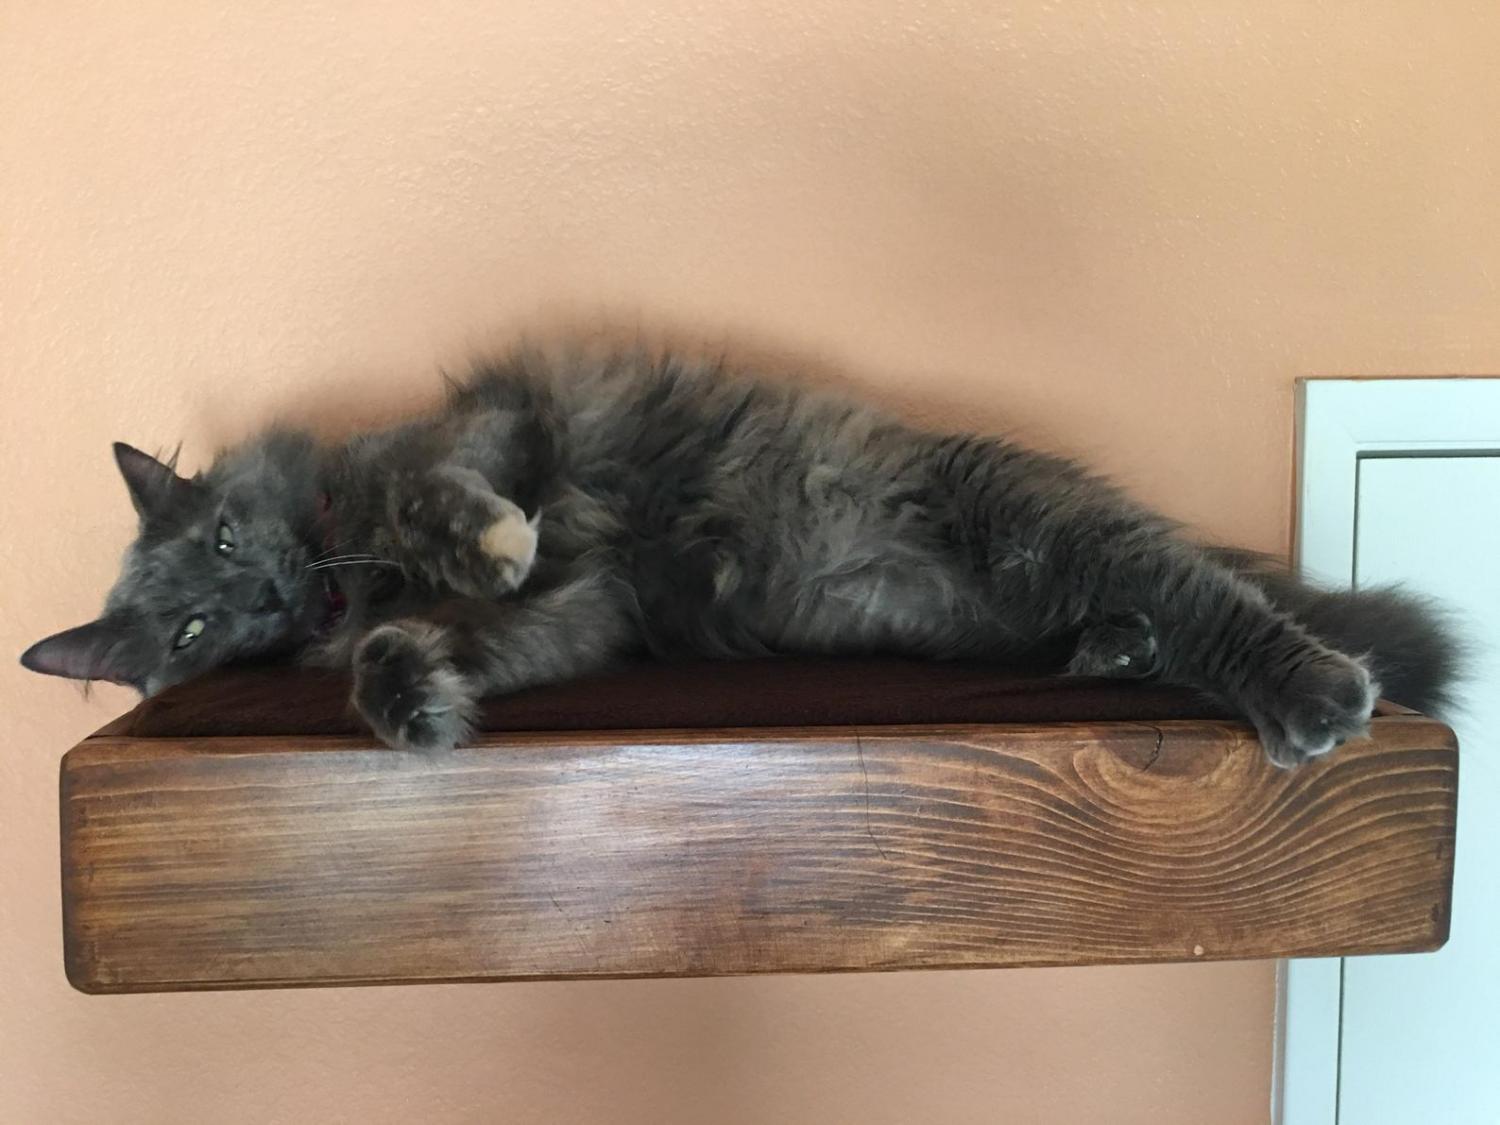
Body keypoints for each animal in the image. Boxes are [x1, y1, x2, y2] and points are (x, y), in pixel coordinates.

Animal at [17, 352, 1458, 774]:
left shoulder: (483, 432)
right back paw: (1117, 648)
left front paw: (487, 541)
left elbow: (451, 508)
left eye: (220, 541)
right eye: (188, 633)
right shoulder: (586, 619)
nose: (259, 595)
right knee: (1147, 611)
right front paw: (411, 697)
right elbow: (443, 649)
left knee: (1213, 598)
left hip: (1031, 521)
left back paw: (1309, 690)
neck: (341, 568)